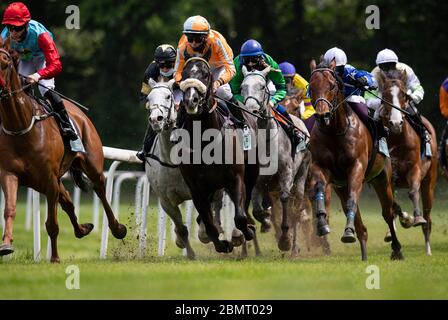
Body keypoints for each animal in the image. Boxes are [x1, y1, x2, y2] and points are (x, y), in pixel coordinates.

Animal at [0, 43, 126, 262]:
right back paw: (82, 229)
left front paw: (55, 258)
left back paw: (117, 228)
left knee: (100, 190)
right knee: (67, 199)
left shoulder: (49, 179)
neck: (21, 127)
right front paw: (6, 244)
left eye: (5, 63)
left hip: (91, 164)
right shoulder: (9, 174)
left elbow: (52, 223)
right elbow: (10, 209)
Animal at [177, 57, 258, 252]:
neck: (205, 141)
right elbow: (208, 222)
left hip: (252, 173)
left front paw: (246, 232)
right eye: (184, 74)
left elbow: (240, 216)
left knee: (245, 202)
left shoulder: (236, 178)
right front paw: (221, 244)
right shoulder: (196, 188)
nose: (191, 100)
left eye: (206, 75)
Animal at [308, 59, 406, 260]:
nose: (322, 115)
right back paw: (362, 247)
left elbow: (353, 198)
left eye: (332, 85)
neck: (335, 131)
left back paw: (396, 249)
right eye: (311, 87)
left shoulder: (357, 167)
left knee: (388, 212)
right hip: (341, 186)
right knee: (358, 220)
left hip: (382, 178)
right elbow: (320, 189)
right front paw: (322, 224)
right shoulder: (320, 166)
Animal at [378, 70, 438, 255]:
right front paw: (404, 220)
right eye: (385, 95)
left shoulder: (414, 169)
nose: (396, 123)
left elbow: (412, 192)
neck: (398, 139)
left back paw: (428, 249)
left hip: (430, 182)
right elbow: (392, 204)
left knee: (428, 217)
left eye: (404, 95)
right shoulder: (388, 176)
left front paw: (415, 218)